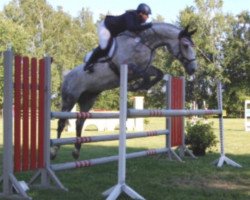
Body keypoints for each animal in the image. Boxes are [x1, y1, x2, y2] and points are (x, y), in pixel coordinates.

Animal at [50, 22, 197, 159]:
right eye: (185, 45)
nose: (193, 69)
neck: (144, 43)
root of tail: (67, 75)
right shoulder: (129, 68)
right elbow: (145, 75)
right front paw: (135, 86)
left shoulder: (145, 68)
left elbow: (158, 74)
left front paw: (140, 86)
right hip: (70, 99)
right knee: (61, 122)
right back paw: (53, 151)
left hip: (88, 100)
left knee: (79, 123)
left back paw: (76, 151)